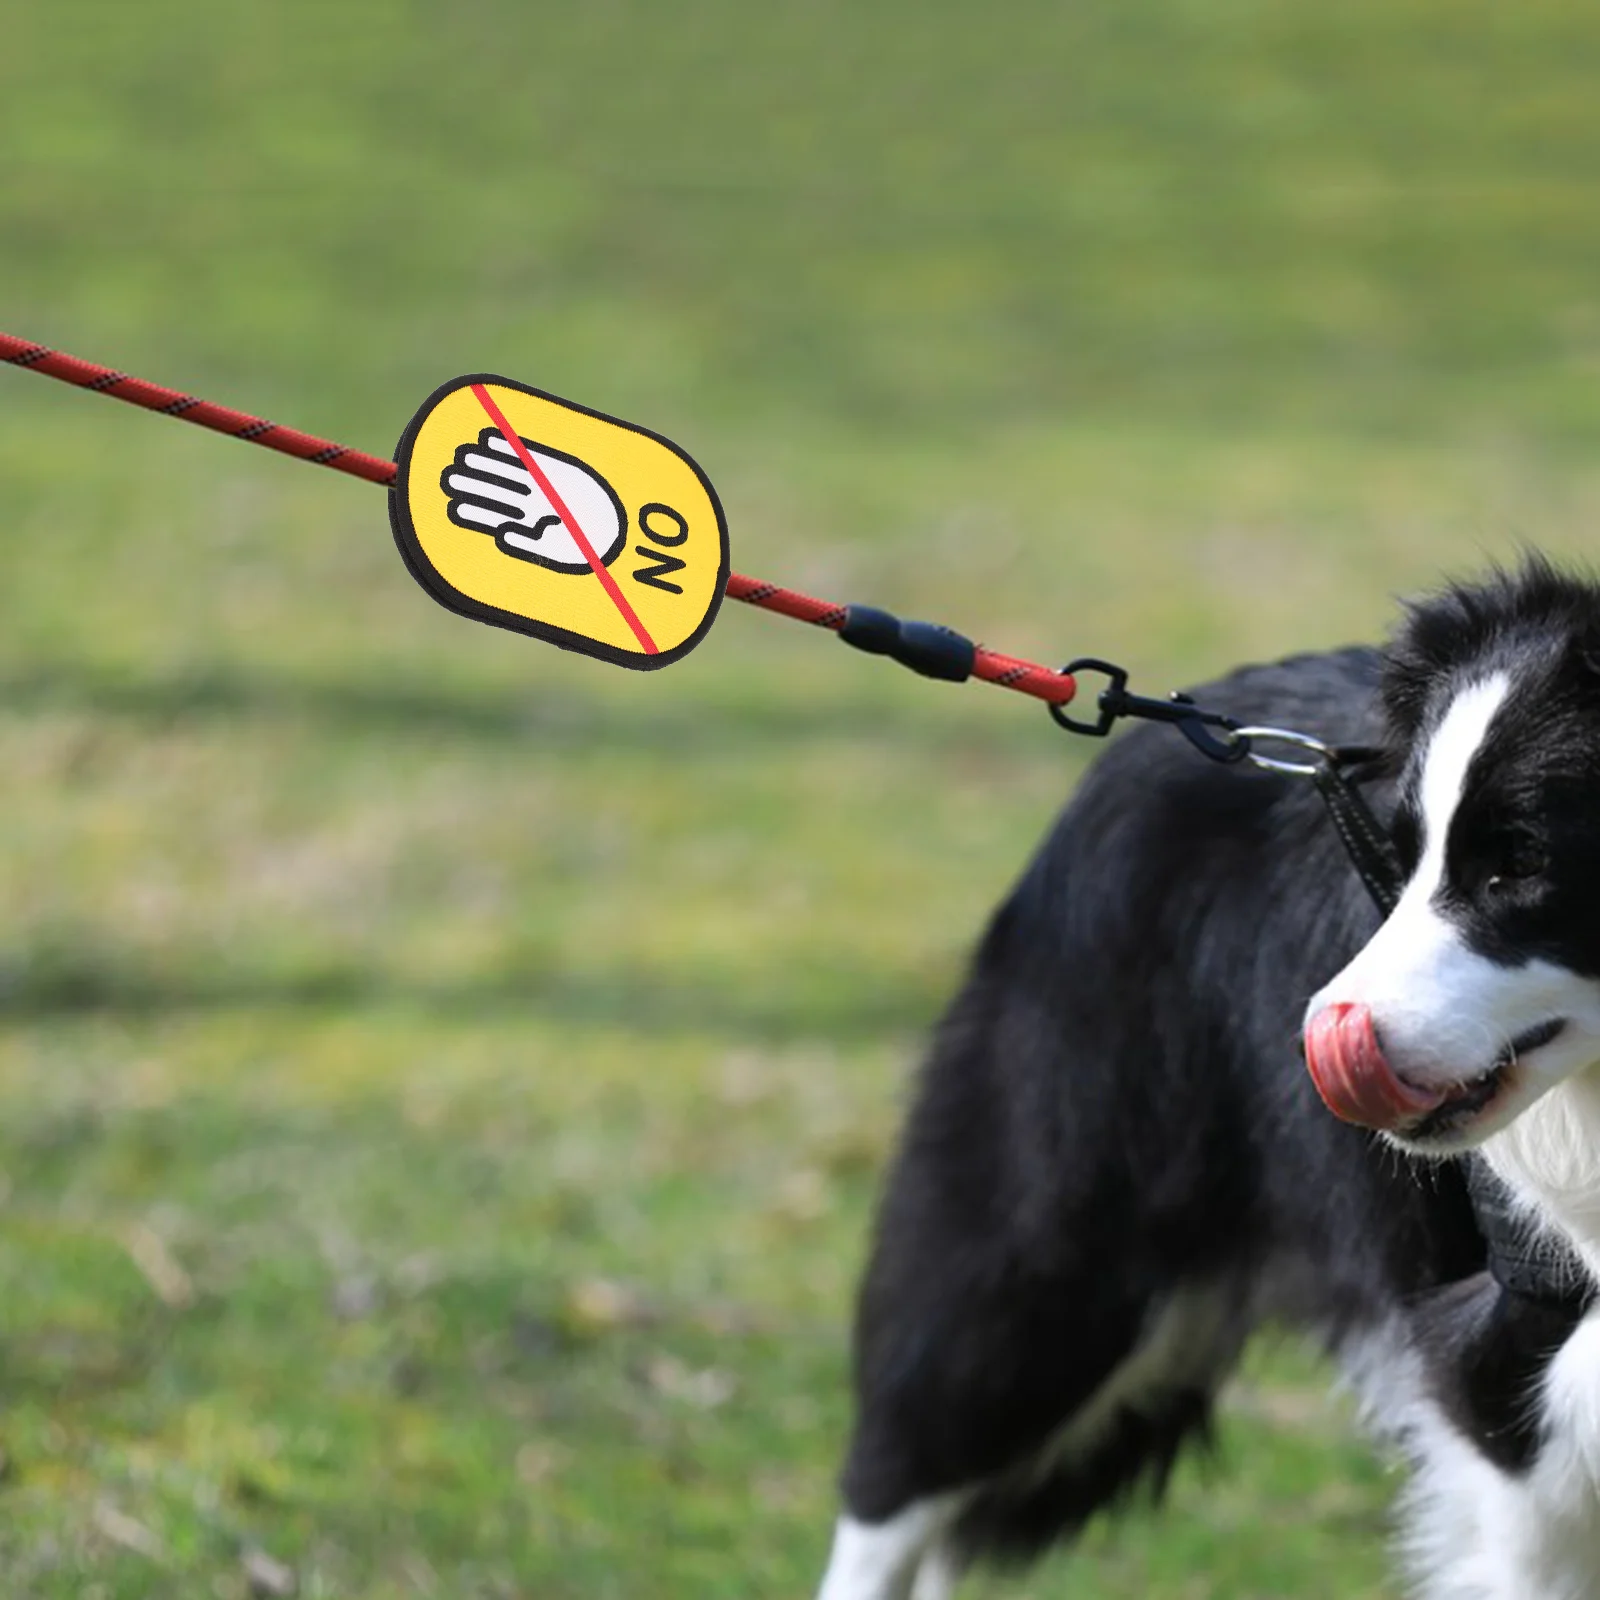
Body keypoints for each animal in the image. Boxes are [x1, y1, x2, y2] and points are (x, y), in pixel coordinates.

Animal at [819, 563, 1600, 1600]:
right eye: (1400, 862)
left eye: (1521, 865)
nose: (1315, 1038)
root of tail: (1173, 718)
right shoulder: (1513, 1394)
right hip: (1052, 1227)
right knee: (906, 1462)